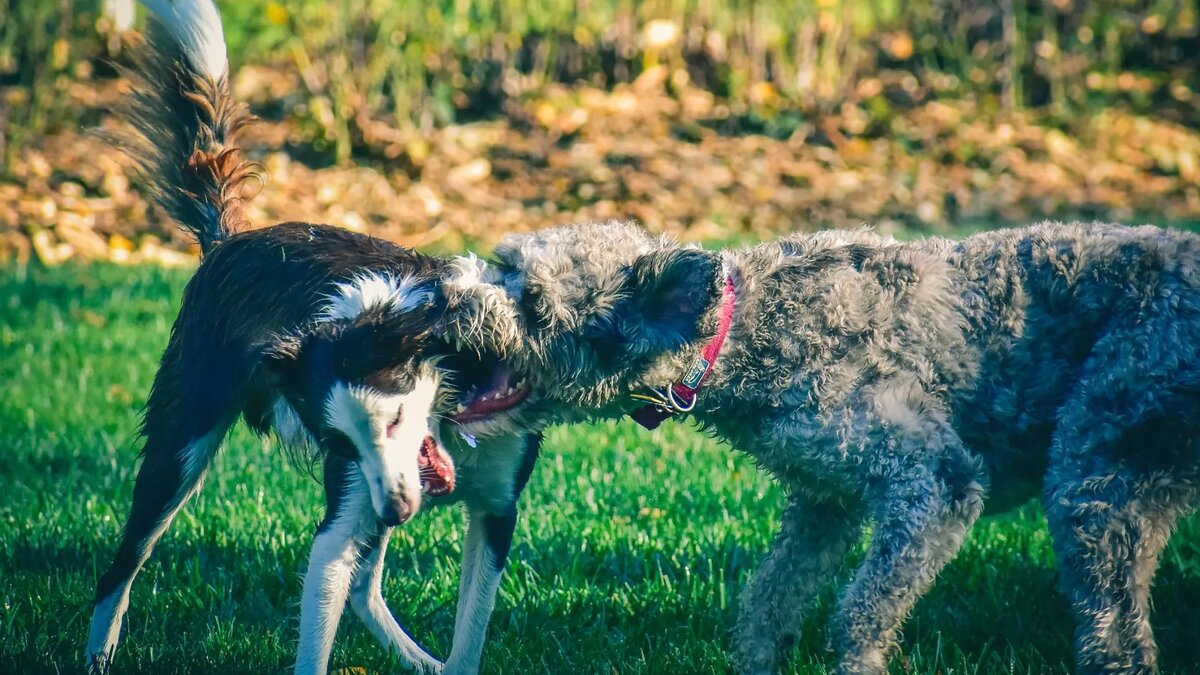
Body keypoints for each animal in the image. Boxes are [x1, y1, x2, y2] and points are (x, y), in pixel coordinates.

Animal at [85, 2, 535, 667]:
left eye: (395, 421)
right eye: (341, 441)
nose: (398, 510)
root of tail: (229, 241)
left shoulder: (494, 511)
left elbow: (467, 644)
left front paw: (445, 662)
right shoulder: (345, 511)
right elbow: (320, 623)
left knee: (364, 588)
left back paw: (417, 659)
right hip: (179, 447)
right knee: (121, 567)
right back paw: (98, 653)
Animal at [441, 218, 1200, 667]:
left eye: (533, 303)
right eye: (503, 264)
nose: (445, 297)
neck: (740, 331)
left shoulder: (933, 485)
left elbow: (861, 611)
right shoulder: (822, 502)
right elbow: (769, 598)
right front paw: (755, 661)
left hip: (1092, 478)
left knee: (1117, 632)